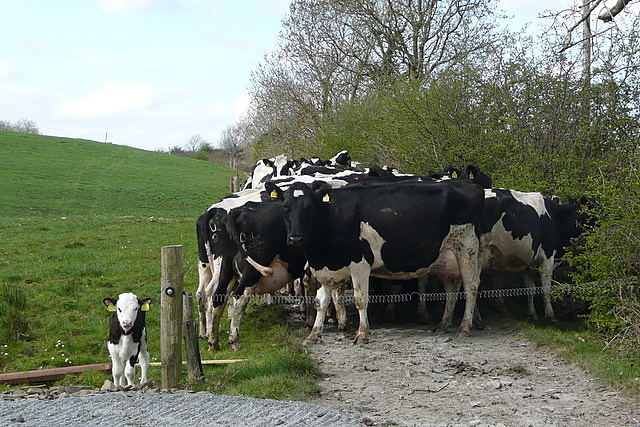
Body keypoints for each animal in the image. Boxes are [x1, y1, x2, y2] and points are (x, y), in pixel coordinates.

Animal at [276, 179, 485, 344]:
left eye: (309, 207)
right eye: (285, 207)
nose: (296, 238)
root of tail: (471, 185)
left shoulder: (360, 264)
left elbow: (360, 300)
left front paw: (362, 334)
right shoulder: (322, 267)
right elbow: (321, 302)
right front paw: (313, 335)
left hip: (467, 249)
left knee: (471, 287)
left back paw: (464, 328)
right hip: (447, 258)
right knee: (452, 289)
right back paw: (443, 324)